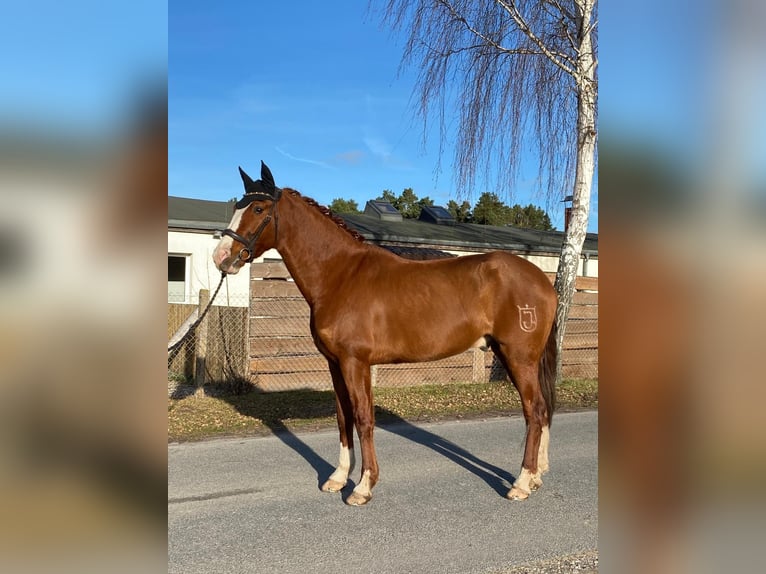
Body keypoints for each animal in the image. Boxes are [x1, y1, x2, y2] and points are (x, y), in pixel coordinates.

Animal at [213, 163, 560, 508]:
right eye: (238, 206)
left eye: (258, 208)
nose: (221, 257)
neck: (341, 275)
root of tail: (542, 280)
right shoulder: (336, 364)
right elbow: (344, 418)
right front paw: (338, 478)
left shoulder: (355, 362)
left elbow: (363, 418)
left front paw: (363, 486)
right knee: (543, 410)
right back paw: (538, 475)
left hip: (518, 356)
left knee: (534, 411)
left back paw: (522, 483)